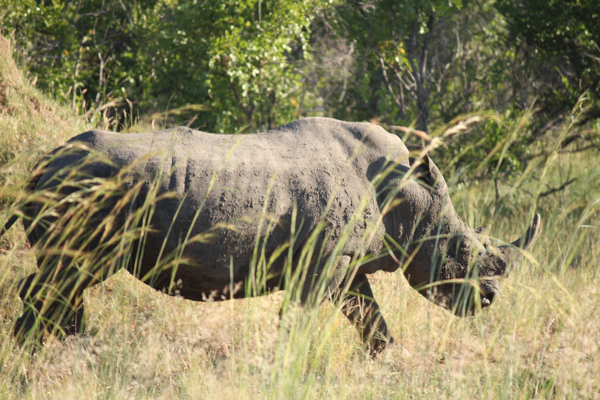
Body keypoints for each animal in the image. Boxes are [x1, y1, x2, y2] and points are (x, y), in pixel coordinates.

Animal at [1, 117, 540, 352]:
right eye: (462, 249)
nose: (489, 298)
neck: (408, 198)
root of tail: (40, 165)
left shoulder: (346, 264)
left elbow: (372, 322)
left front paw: (389, 365)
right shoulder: (323, 264)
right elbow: (297, 325)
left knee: (64, 283)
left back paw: (69, 352)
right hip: (88, 193)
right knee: (65, 279)